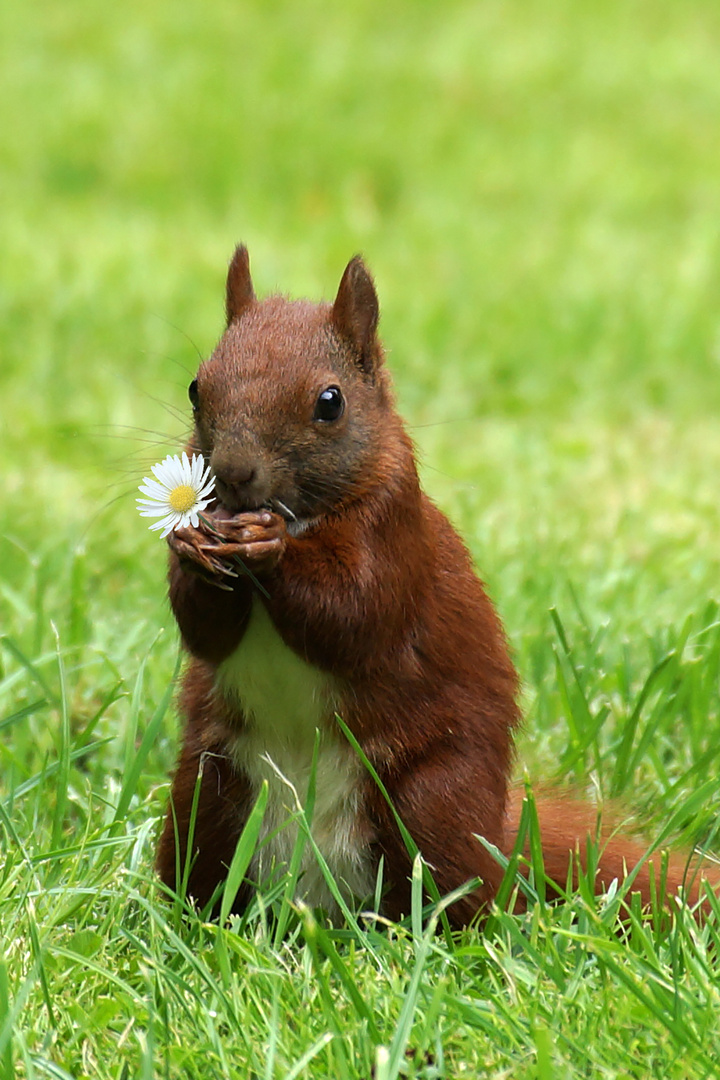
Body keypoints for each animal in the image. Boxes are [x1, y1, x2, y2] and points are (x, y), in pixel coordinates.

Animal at [155, 247, 712, 928]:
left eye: (330, 402)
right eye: (195, 388)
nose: (232, 475)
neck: (305, 515)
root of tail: (318, 901)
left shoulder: (394, 530)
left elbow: (355, 613)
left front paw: (270, 546)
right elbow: (205, 630)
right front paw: (192, 547)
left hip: (431, 803)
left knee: (461, 895)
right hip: (206, 795)